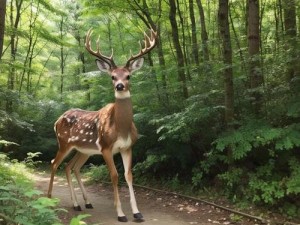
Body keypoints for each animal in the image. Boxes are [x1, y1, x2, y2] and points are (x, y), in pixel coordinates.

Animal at [47, 27, 157, 221]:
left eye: (128, 76)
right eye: (112, 77)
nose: (120, 86)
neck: (121, 128)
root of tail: (57, 120)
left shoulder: (127, 147)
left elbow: (129, 175)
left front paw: (137, 213)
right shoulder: (106, 147)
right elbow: (114, 175)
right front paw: (121, 214)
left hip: (83, 150)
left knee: (71, 167)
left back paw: (83, 203)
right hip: (64, 143)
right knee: (54, 163)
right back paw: (50, 198)